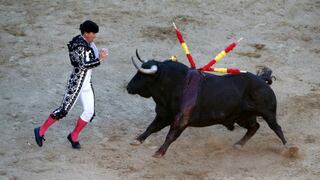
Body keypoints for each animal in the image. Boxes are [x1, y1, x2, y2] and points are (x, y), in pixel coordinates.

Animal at [126, 53, 286, 158]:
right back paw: (239, 144)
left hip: (268, 113)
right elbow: (151, 127)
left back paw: (286, 148)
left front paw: (159, 152)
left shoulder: (181, 120)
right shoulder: (164, 115)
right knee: (254, 127)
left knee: (276, 127)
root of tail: (262, 80)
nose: (128, 87)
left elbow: (170, 135)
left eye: (142, 75)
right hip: (242, 117)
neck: (178, 84)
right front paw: (137, 140)